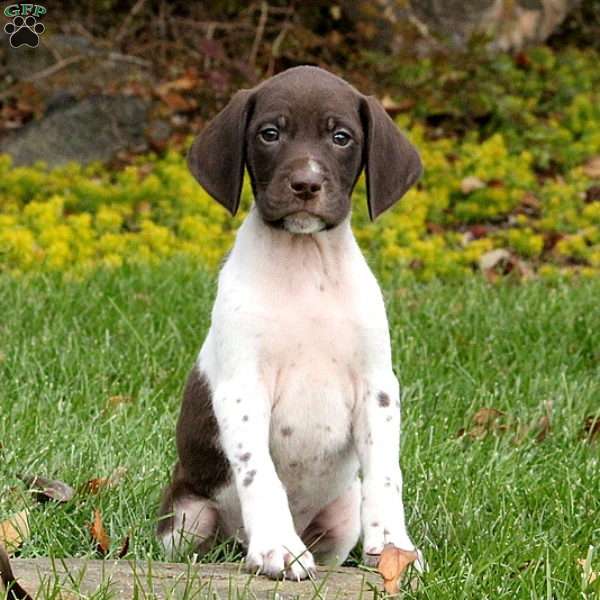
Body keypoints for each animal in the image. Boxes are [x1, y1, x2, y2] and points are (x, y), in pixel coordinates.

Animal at [157, 63, 424, 580]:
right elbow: (259, 472)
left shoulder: (377, 389)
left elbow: (386, 475)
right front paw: (278, 548)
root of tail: (233, 544)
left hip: (341, 518)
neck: (305, 264)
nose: (305, 184)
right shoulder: (243, 387)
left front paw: (393, 548)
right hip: (185, 521)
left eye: (341, 137)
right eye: (270, 133)